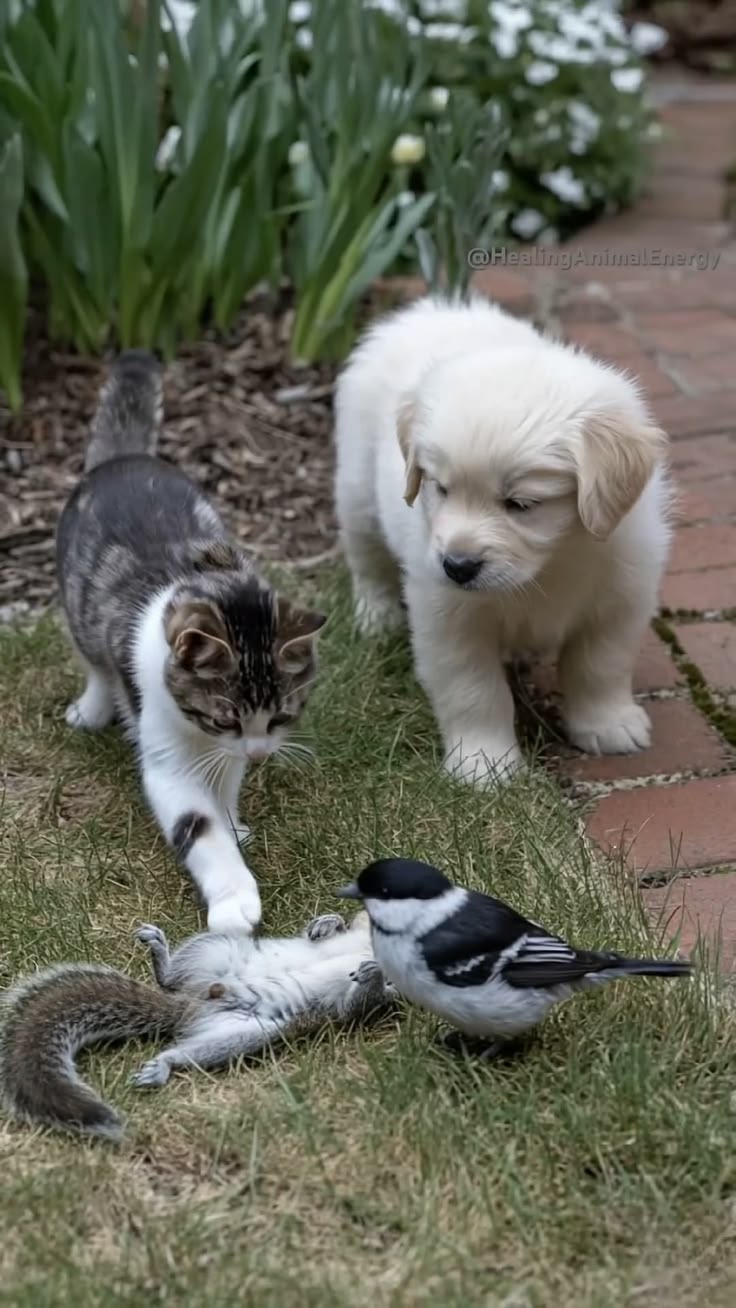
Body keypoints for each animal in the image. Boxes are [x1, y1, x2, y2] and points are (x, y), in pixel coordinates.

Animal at [0, 910, 396, 1141]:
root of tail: (191, 1004)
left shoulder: (364, 1006)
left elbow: (366, 1003)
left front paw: (376, 974)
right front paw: (325, 923)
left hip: (242, 1032)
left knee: (187, 1046)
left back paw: (164, 1065)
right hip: (216, 948)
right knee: (169, 979)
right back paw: (160, 954)